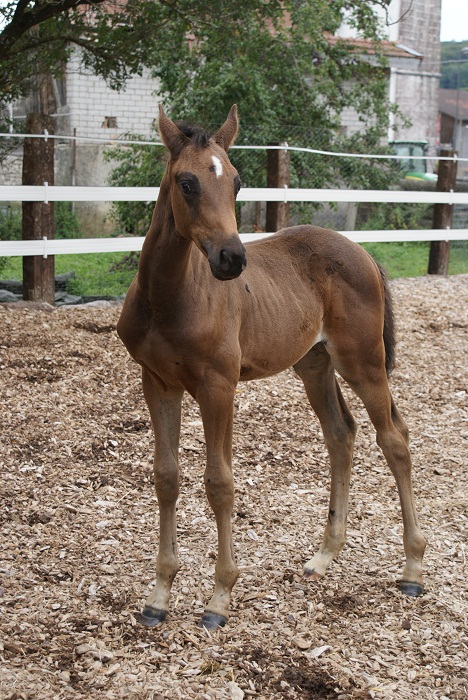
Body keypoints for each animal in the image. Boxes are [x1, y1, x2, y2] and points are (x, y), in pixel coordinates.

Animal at [117, 105, 426, 630]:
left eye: (238, 182)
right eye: (186, 182)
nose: (231, 258)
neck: (169, 297)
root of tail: (363, 252)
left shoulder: (218, 387)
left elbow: (219, 482)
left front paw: (219, 598)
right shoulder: (157, 383)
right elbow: (166, 477)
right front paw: (158, 596)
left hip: (362, 363)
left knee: (394, 439)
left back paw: (412, 568)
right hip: (314, 365)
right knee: (341, 434)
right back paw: (324, 557)